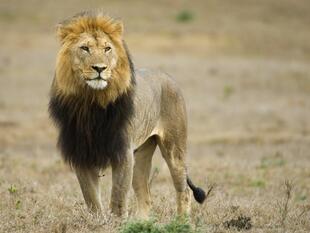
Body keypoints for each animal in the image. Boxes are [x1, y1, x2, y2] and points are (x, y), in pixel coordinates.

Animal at [49, 10, 206, 218]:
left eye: (107, 48)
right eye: (84, 48)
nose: (100, 68)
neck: (92, 102)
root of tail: (168, 77)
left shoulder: (122, 152)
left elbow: (117, 198)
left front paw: (116, 221)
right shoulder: (82, 154)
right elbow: (92, 199)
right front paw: (98, 221)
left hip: (174, 149)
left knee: (184, 189)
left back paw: (181, 221)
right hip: (140, 154)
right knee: (146, 197)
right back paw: (141, 221)